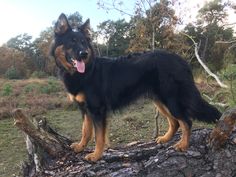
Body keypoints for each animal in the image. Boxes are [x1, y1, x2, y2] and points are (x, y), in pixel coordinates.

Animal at [50, 13, 221, 162]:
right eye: (72, 42)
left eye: (84, 43)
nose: (84, 54)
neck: (85, 72)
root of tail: (181, 61)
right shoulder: (85, 109)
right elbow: (85, 131)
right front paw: (80, 146)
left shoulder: (97, 110)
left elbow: (99, 136)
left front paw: (97, 155)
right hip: (160, 101)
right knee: (175, 122)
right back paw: (166, 138)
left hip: (171, 99)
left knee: (186, 121)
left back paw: (183, 145)